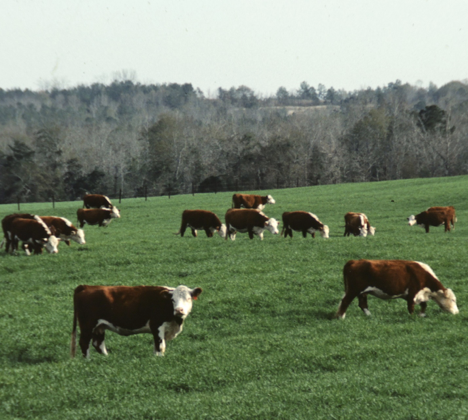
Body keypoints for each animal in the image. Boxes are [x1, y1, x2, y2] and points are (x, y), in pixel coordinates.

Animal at [70, 282, 202, 358]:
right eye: (173, 300)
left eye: (189, 298)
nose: (179, 310)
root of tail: (86, 287)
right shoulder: (157, 325)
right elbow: (160, 346)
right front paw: (159, 359)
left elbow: (157, 347)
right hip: (87, 325)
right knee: (84, 343)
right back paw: (88, 361)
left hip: (99, 327)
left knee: (98, 343)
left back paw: (106, 359)